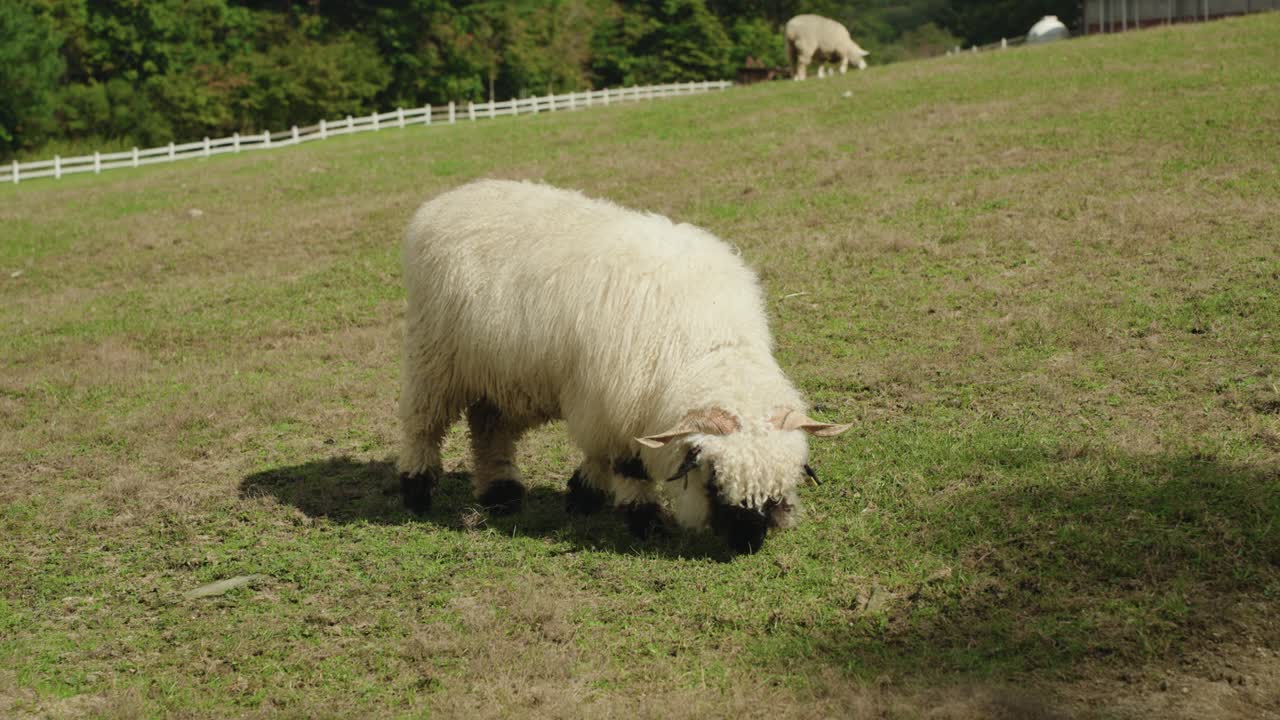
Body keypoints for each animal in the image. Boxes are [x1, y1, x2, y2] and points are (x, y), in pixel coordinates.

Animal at [398, 180, 851, 554]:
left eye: (780, 490)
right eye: (713, 480)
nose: (748, 543)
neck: (708, 346)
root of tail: (446, 200)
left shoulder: (619, 403)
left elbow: (599, 458)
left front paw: (582, 495)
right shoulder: (613, 402)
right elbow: (627, 466)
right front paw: (644, 521)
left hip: (500, 373)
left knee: (488, 429)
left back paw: (501, 494)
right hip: (433, 358)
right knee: (422, 426)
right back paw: (416, 491)